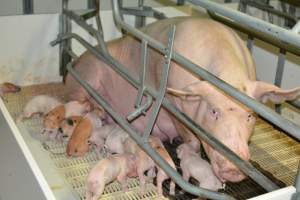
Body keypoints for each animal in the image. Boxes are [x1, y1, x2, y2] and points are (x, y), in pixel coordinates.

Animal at [66, 17, 300, 183]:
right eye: (213, 111)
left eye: (250, 116)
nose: (233, 168)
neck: (227, 76)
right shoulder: (173, 104)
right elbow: (191, 138)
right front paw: (183, 147)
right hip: (86, 75)